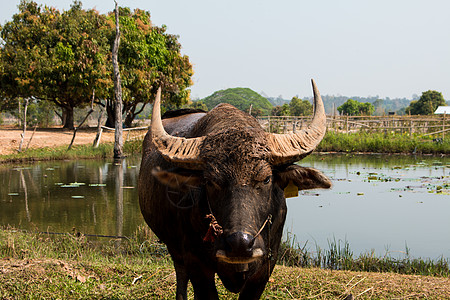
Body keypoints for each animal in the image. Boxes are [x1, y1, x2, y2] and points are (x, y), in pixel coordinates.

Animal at [139, 80, 332, 300]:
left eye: (266, 179)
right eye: (210, 182)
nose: (240, 243)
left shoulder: (265, 267)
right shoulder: (196, 264)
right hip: (175, 250)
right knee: (181, 277)